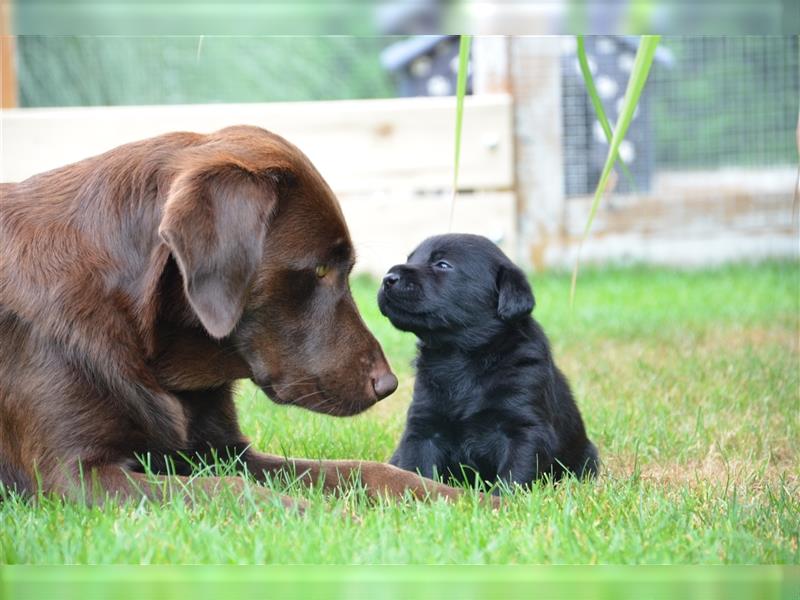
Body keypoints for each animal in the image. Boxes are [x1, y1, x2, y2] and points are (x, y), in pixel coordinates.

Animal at [0, 124, 466, 508]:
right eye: (319, 270)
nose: (389, 385)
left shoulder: (226, 451)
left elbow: (361, 470)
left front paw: (462, 499)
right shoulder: (77, 477)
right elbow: (237, 491)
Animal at [378, 232, 596, 490]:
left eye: (443, 264)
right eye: (410, 259)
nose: (388, 278)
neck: (460, 356)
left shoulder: (525, 429)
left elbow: (514, 475)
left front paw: (501, 497)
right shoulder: (423, 427)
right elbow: (415, 467)